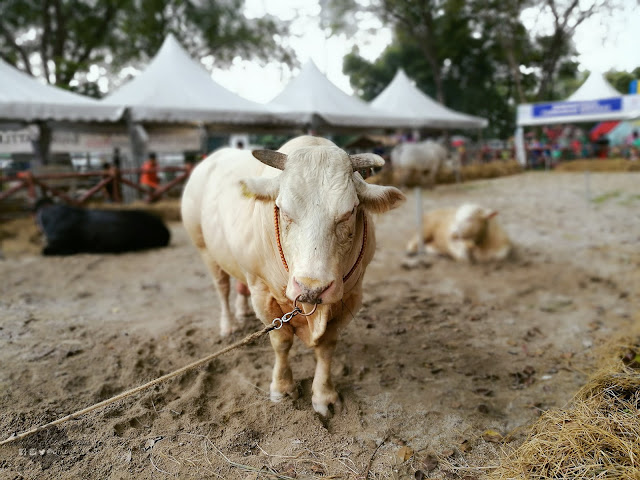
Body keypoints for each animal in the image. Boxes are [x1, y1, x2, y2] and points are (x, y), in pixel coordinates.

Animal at [180, 136, 404, 416]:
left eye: (350, 211)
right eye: (282, 209)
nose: (311, 288)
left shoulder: (352, 295)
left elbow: (326, 347)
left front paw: (324, 395)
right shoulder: (262, 292)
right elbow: (281, 342)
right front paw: (282, 387)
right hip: (204, 248)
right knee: (222, 288)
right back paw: (229, 324)